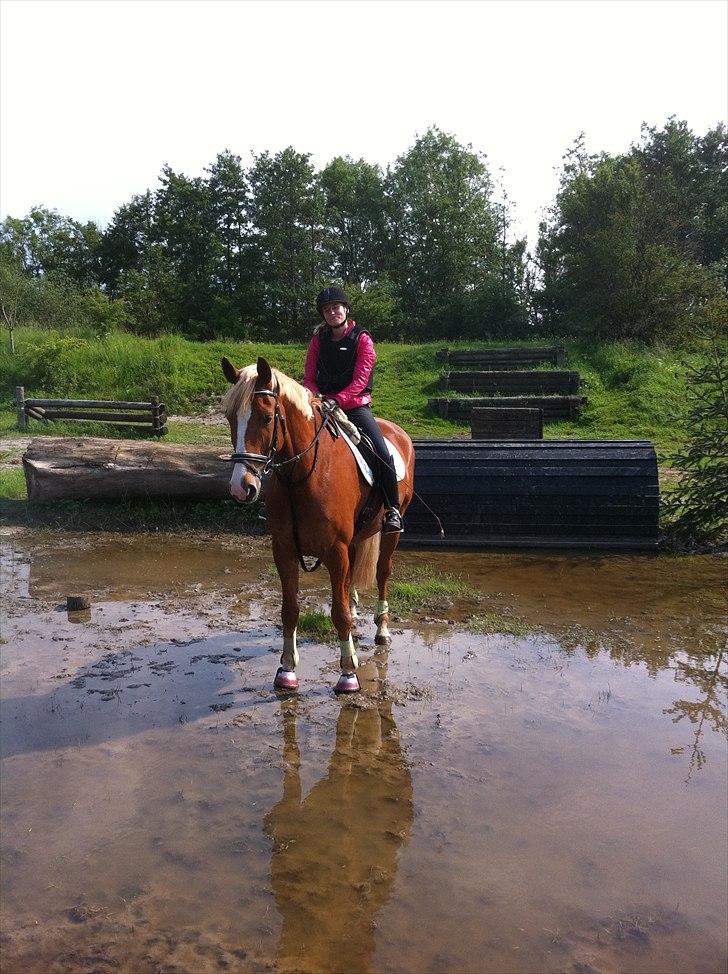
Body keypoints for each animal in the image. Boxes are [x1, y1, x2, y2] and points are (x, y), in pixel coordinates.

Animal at [220, 356, 416, 692]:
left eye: (267, 417)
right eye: (231, 418)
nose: (240, 487)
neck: (302, 475)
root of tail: (397, 432)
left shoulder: (335, 550)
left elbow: (338, 614)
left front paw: (348, 673)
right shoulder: (284, 549)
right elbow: (290, 610)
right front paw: (286, 669)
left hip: (391, 532)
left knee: (383, 573)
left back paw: (382, 630)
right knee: (351, 578)